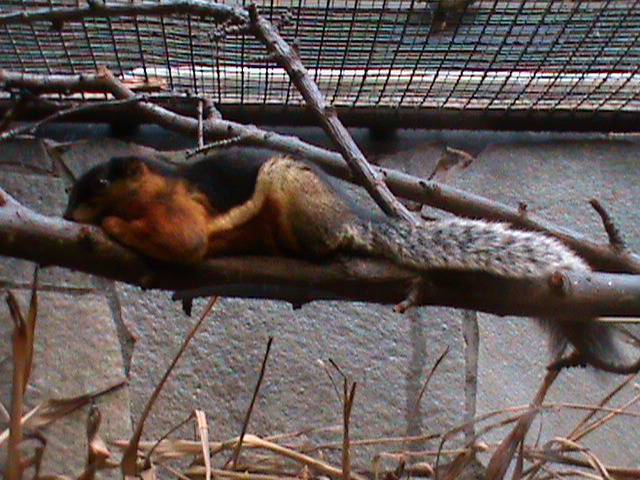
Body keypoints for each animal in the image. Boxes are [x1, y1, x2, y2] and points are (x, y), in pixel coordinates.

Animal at [64, 147, 638, 374]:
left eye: (100, 181)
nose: (67, 212)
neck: (159, 182)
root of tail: (352, 218)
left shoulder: (179, 214)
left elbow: (182, 243)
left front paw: (109, 226)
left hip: (294, 197)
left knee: (325, 241)